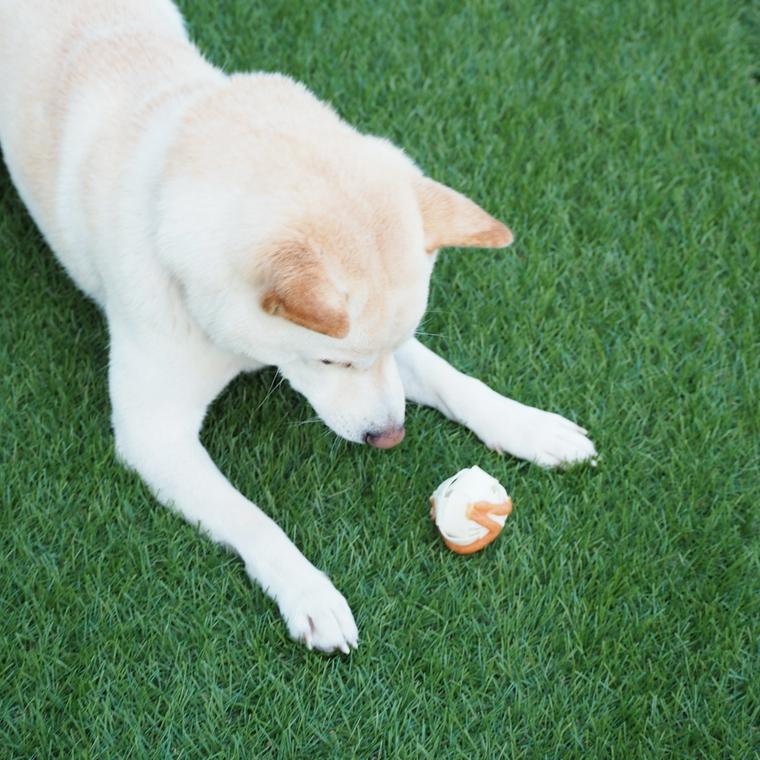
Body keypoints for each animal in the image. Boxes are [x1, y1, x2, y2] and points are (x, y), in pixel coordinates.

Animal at [0, 0, 596, 652]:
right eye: (330, 360)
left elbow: (452, 381)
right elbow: (254, 519)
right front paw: (309, 592)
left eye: (383, 351)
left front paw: (530, 427)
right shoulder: (154, 435)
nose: (390, 438)